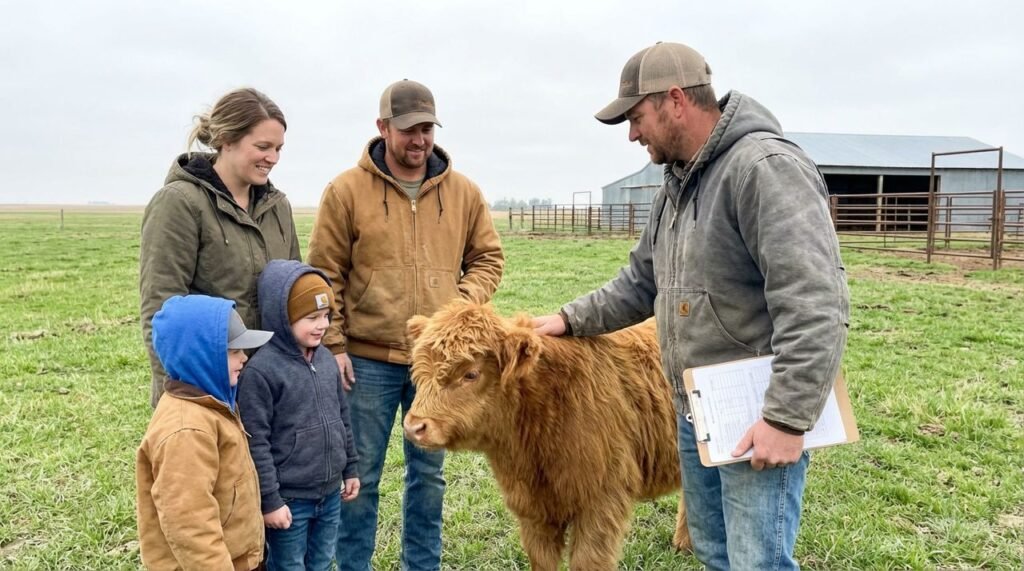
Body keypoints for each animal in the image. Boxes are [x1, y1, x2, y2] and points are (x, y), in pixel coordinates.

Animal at [402, 299, 691, 571]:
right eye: (420, 370)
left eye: (471, 373)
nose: (414, 426)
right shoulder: (533, 509)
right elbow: (542, 560)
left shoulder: (601, 501)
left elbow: (587, 562)